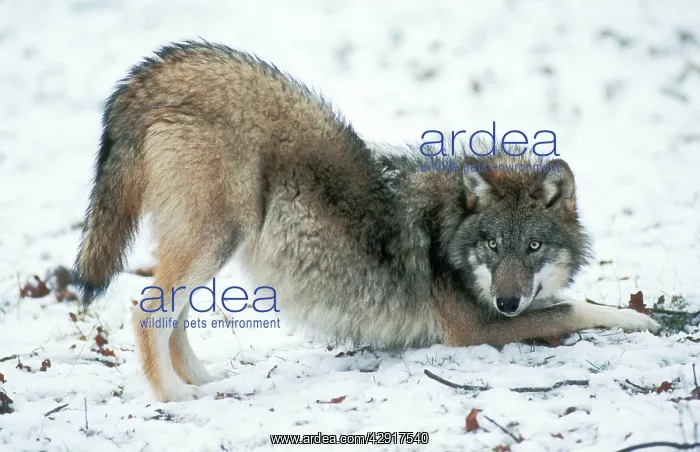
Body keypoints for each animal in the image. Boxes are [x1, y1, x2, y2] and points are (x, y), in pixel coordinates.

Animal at [74, 41, 660, 402]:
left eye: (533, 247)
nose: (508, 301)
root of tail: (167, 70)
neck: (449, 228)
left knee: (172, 316)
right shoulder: (472, 329)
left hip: (214, 247)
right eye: (492, 245)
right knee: (145, 310)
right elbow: (572, 309)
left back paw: (203, 381)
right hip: (215, 240)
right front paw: (646, 322)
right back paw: (174, 395)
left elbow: (568, 300)